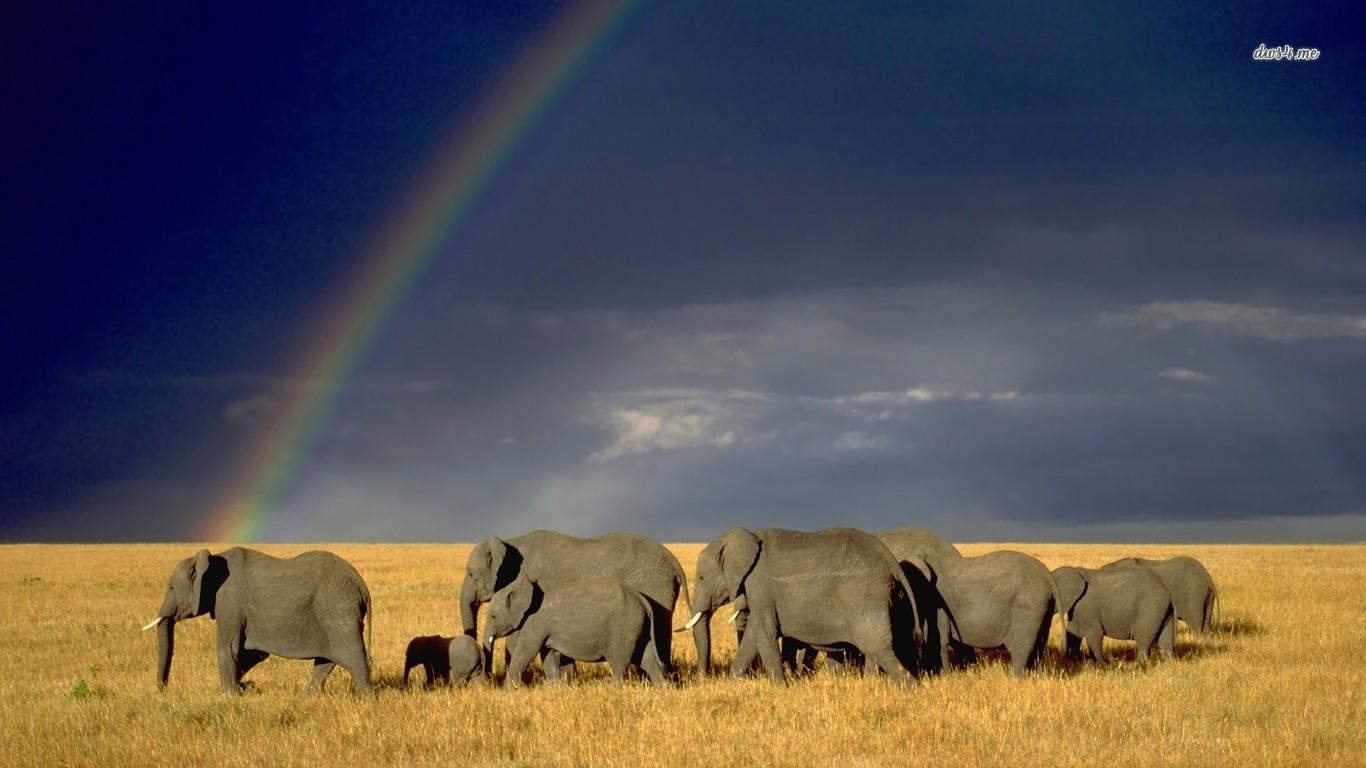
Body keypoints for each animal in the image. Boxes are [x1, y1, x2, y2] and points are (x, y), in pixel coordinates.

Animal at [143, 548, 372, 695]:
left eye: (171, 587)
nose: (162, 691)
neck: (212, 560)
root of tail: (361, 584)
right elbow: (253, 653)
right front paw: (245, 688)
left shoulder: (229, 601)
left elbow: (228, 648)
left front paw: (229, 695)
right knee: (325, 660)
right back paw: (308, 697)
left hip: (337, 608)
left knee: (352, 654)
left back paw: (366, 700)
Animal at [485, 575, 669, 687]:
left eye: (493, 616)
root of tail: (642, 599)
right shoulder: (546, 626)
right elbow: (548, 655)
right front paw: (554, 689)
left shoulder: (536, 621)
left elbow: (526, 652)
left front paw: (506, 692)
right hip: (637, 626)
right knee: (646, 657)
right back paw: (663, 689)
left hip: (623, 627)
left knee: (619, 661)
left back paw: (612, 689)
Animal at [684, 527, 920, 683]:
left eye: (702, 577)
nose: (702, 680)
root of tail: (890, 560)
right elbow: (752, 636)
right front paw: (732, 682)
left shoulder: (759, 588)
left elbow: (764, 632)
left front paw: (780, 687)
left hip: (865, 595)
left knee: (878, 647)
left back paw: (910, 687)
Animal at [914, 550, 1058, 677]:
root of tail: (1047, 574)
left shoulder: (937, 602)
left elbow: (940, 640)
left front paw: (946, 677)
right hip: (1044, 608)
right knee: (1040, 646)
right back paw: (1038, 678)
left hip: (1028, 607)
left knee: (1021, 648)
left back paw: (1016, 680)